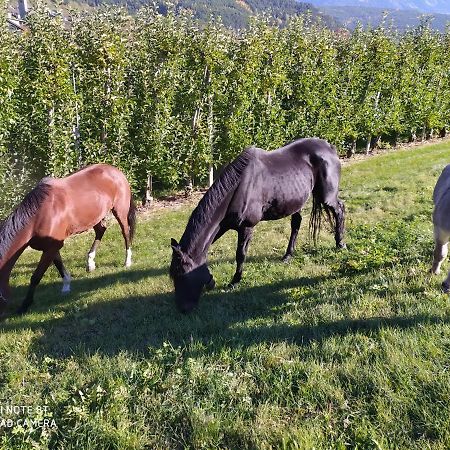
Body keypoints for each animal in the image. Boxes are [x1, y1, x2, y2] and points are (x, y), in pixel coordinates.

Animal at [0, 163, 136, 316]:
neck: (39, 216)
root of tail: (116, 170)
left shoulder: (52, 247)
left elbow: (36, 277)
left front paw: (24, 306)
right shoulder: (51, 246)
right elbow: (59, 265)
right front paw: (66, 286)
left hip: (120, 211)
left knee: (125, 232)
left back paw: (127, 261)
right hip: (95, 216)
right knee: (101, 230)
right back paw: (90, 263)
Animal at [171, 137, 346, 312]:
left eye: (183, 276)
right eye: (173, 276)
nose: (183, 309)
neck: (239, 188)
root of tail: (329, 147)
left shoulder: (246, 227)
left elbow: (240, 255)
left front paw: (235, 281)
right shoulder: (222, 227)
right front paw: (211, 281)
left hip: (327, 196)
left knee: (340, 210)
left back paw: (340, 243)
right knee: (296, 223)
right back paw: (288, 256)